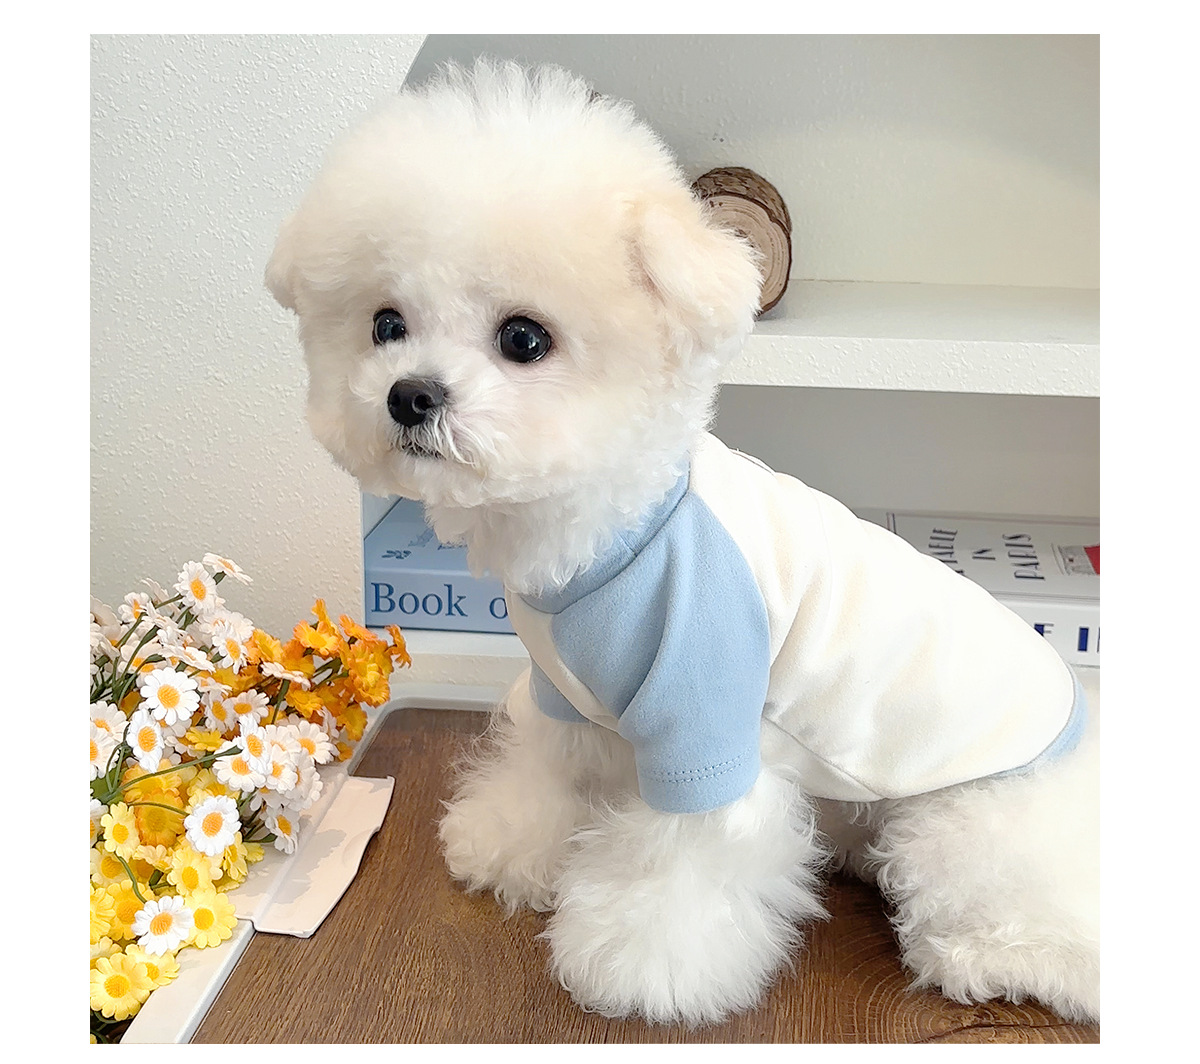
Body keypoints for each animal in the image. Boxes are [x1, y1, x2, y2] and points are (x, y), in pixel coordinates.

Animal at [266, 60, 1100, 1027]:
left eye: (523, 338)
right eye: (386, 324)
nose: (410, 394)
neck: (617, 535)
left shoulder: (705, 720)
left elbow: (685, 860)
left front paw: (640, 965)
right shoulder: (569, 700)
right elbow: (549, 777)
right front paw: (514, 845)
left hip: (971, 822)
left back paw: (989, 956)